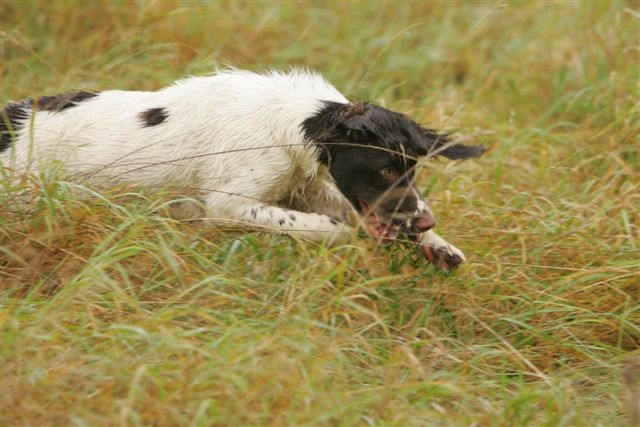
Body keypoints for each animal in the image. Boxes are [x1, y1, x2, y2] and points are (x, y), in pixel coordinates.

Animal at [0, 70, 482, 270]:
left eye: (412, 170)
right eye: (384, 171)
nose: (425, 221)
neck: (295, 125)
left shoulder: (303, 187)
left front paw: (438, 244)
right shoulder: (228, 204)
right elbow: (327, 227)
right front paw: (349, 237)